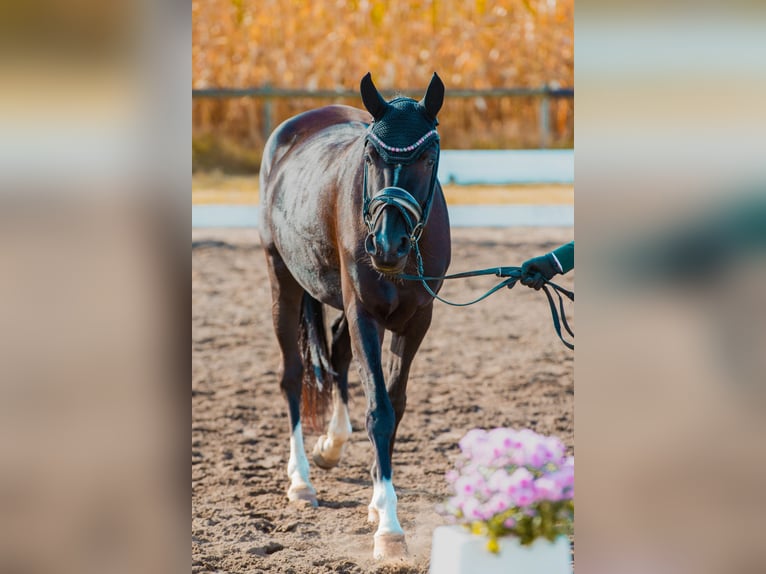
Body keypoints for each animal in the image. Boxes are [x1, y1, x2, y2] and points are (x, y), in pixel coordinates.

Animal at [259, 72, 451, 559]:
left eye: (427, 157)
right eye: (370, 155)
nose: (386, 246)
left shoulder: (416, 320)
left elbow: (395, 405)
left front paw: (378, 505)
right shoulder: (364, 311)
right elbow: (379, 411)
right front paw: (389, 528)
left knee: (339, 356)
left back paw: (331, 444)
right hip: (281, 275)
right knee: (292, 375)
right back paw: (301, 480)